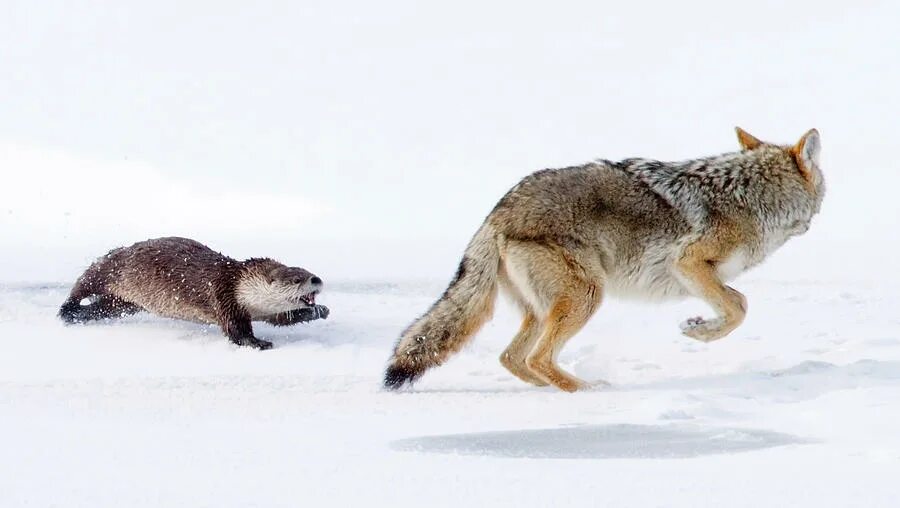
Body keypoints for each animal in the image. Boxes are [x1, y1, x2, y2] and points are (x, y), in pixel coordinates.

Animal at [58, 237, 328, 350]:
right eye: (297, 279)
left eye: (309, 271)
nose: (317, 280)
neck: (241, 285)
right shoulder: (224, 296)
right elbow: (236, 331)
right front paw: (259, 343)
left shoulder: (263, 310)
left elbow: (281, 318)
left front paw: (319, 310)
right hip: (109, 269)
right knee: (83, 284)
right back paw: (67, 310)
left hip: (124, 302)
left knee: (104, 306)